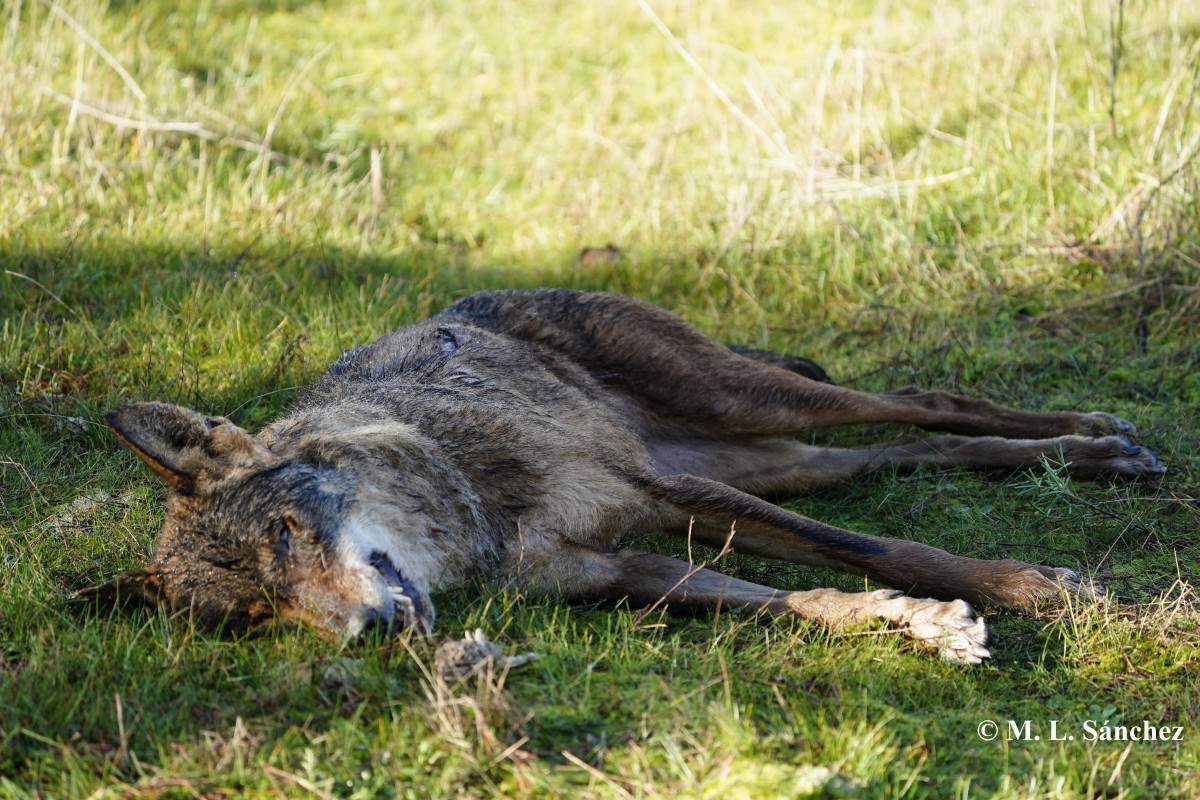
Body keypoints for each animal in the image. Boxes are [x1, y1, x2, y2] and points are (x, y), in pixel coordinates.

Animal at [79, 287, 1166, 662]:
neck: (473, 518)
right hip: (774, 462)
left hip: (749, 408)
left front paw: (1042, 592)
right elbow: (808, 597)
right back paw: (1086, 453)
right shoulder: (630, 567)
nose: (371, 633)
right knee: (901, 449)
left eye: (285, 533)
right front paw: (920, 625)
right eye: (259, 615)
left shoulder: (662, 500)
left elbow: (887, 547)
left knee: (921, 400)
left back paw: (1099, 442)